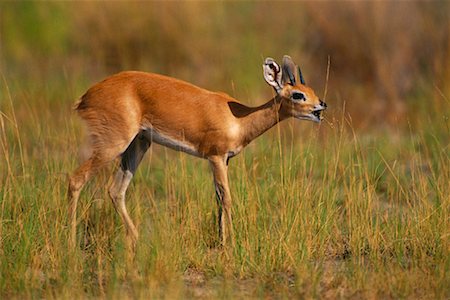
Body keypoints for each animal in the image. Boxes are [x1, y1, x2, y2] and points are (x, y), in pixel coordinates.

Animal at [67, 55, 326, 247]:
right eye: (298, 94)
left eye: (310, 89)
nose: (321, 106)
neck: (239, 119)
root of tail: (86, 96)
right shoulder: (216, 157)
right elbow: (227, 198)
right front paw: (232, 244)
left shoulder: (223, 161)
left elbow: (218, 198)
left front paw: (222, 241)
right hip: (114, 144)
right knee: (76, 179)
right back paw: (70, 241)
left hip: (138, 145)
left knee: (115, 190)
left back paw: (135, 238)